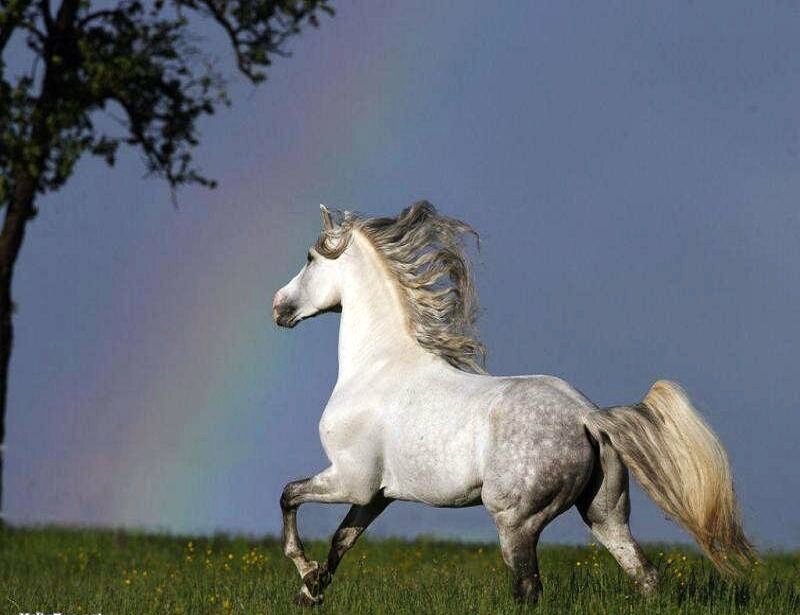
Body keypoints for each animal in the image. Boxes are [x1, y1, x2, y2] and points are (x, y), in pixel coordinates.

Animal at [272, 201, 752, 606]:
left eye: (310, 258)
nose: (279, 307)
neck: (377, 366)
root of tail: (587, 416)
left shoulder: (349, 479)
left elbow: (289, 495)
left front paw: (304, 571)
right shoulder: (376, 495)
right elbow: (342, 539)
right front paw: (311, 590)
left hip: (515, 521)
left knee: (529, 588)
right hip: (606, 514)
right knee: (645, 575)